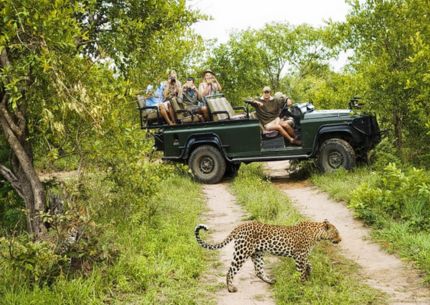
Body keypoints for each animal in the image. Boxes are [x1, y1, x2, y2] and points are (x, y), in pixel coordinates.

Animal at [196, 217, 342, 290]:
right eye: (336, 233)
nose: (340, 239)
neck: (316, 234)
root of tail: (239, 226)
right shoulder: (299, 256)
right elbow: (301, 271)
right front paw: (303, 284)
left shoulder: (303, 256)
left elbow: (309, 265)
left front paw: (309, 274)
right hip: (242, 252)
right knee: (230, 271)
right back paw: (231, 288)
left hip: (257, 254)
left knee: (259, 271)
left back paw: (271, 281)